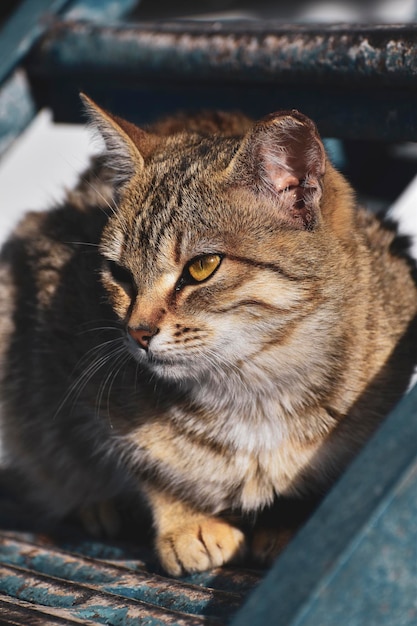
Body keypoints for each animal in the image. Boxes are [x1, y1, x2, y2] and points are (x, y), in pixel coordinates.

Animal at [0, 95, 416, 572]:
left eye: (201, 267)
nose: (137, 332)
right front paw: (185, 522)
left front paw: (289, 520)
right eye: (119, 273)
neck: (253, 392)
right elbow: (141, 463)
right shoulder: (78, 369)